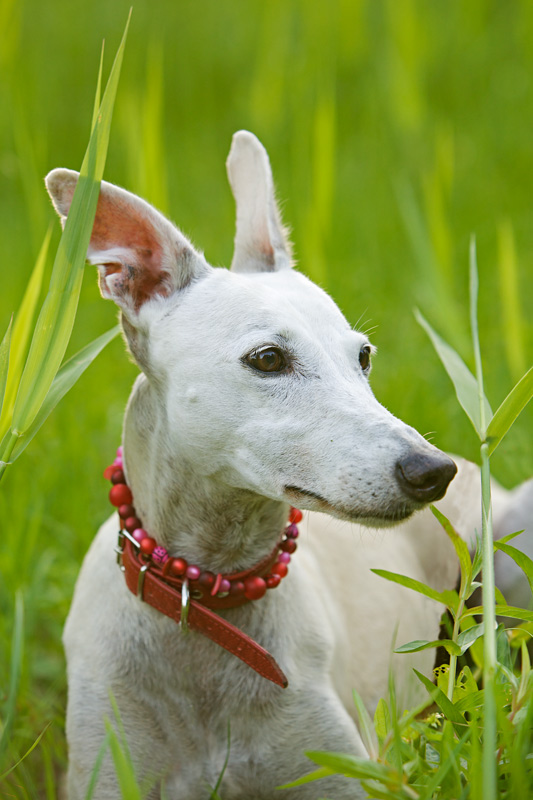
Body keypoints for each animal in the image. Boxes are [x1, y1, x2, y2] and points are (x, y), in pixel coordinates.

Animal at [45, 133, 494, 800]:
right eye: (267, 358)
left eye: (363, 355)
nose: (433, 472)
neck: (209, 603)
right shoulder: (106, 766)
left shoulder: (342, 770)